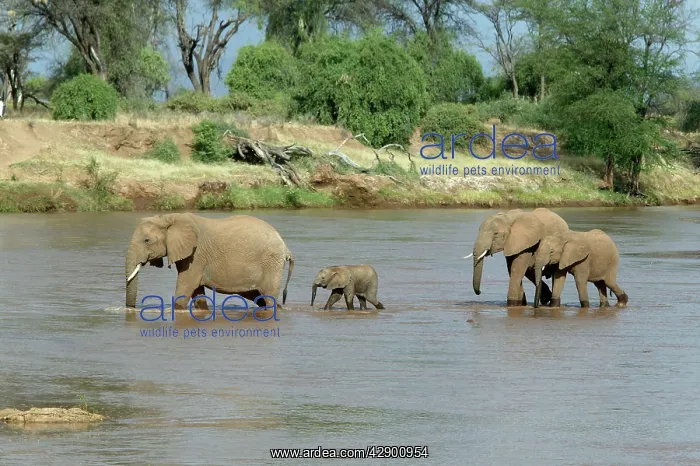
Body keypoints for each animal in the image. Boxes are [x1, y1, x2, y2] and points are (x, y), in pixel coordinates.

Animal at [125, 213, 294, 311]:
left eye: (147, 240)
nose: (131, 309)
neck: (169, 217)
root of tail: (286, 248)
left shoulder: (196, 255)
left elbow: (186, 287)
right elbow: (197, 292)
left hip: (271, 263)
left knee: (269, 298)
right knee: (260, 298)